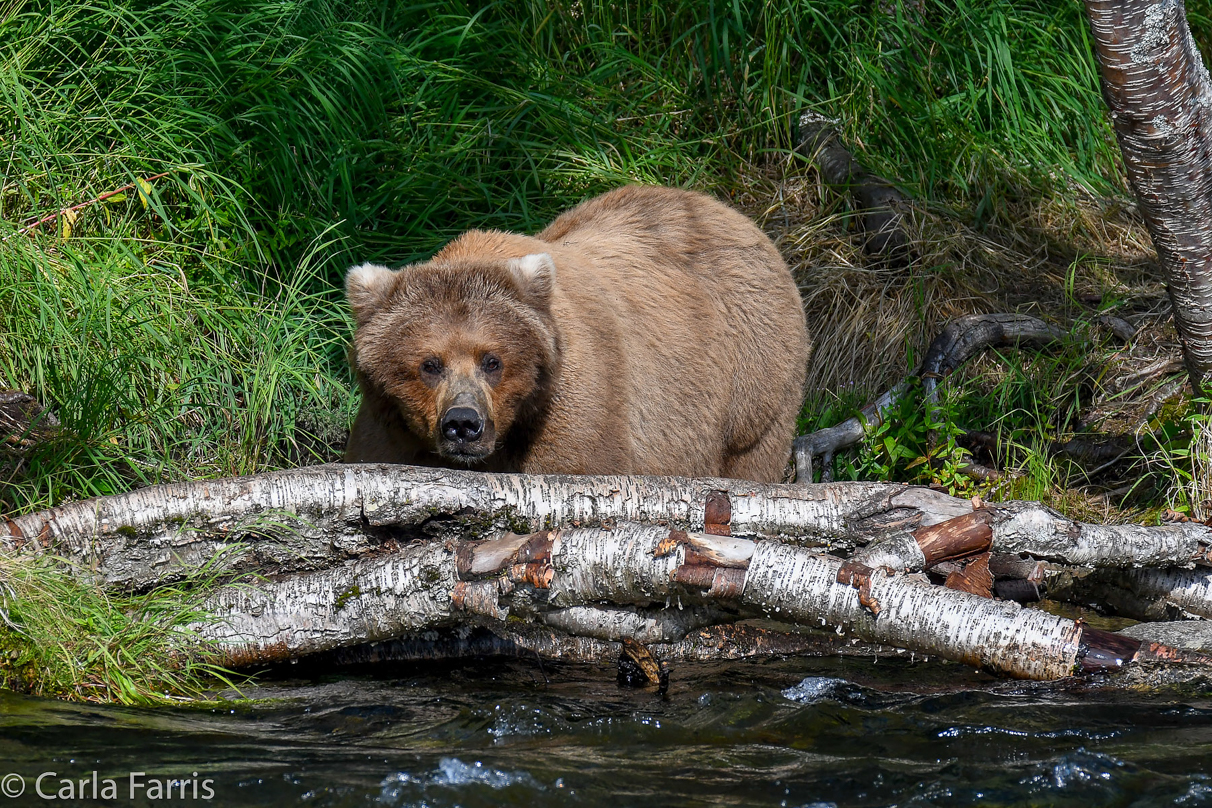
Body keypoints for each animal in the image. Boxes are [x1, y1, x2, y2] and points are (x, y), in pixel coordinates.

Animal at [346, 186, 809, 484]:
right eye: (430, 364)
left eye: (492, 360)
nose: (464, 423)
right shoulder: (392, 430)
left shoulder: (578, 400)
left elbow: (576, 464)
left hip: (753, 380)